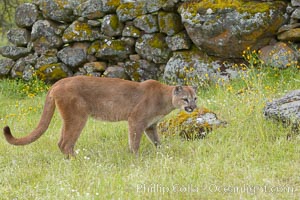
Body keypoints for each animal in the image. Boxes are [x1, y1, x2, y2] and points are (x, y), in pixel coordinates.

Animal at [4, 76, 199, 157]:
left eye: (195, 98)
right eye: (185, 99)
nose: (193, 107)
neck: (165, 99)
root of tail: (58, 82)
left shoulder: (150, 126)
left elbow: (157, 141)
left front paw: (162, 152)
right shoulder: (136, 120)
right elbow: (134, 142)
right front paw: (136, 158)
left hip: (69, 119)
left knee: (61, 142)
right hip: (78, 117)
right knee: (66, 143)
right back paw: (78, 161)